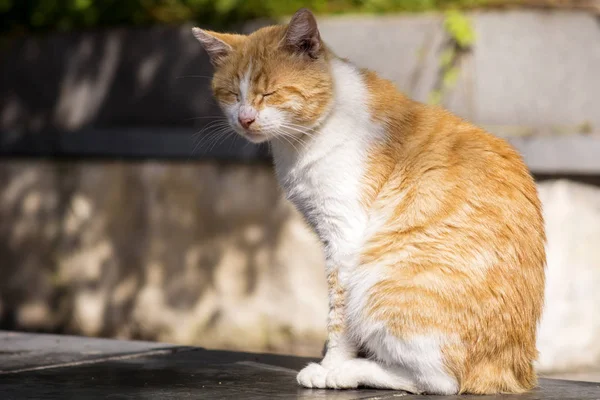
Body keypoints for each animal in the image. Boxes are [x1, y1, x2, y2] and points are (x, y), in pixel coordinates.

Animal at [191, 7, 544, 396]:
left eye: (270, 92)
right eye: (231, 94)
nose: (245, 119)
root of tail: (513, 371)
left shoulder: (344, 240)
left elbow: (338, 318)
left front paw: (331, 364)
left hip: (384, 284)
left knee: (439, 381)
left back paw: (350, 371)